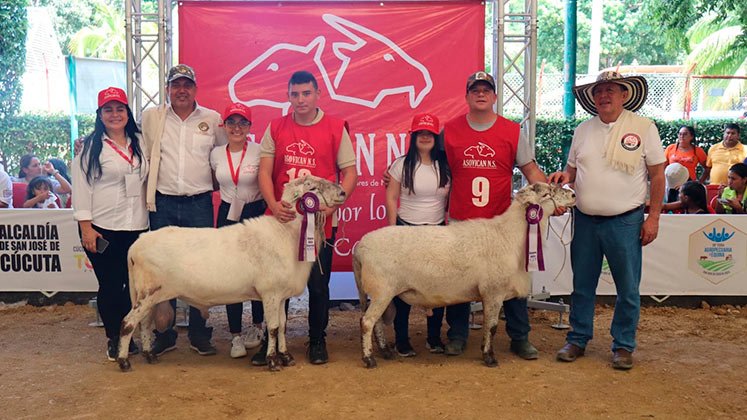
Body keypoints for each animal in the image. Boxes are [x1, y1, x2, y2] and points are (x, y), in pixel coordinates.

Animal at [117, 176, 348, 372]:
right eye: (312, 188)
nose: (343, 192)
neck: (286, 234)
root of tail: (136, 245)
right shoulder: (270, 293)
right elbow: (273, 328)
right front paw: (273, 361)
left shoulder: (281, 295)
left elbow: (283, 326)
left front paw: (286, 357)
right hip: (147, 292)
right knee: (128, 323)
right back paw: (123, 361)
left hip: (150, 294)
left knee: (144, 323)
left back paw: (149, 355)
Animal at [354, 183, 576, 368]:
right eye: (547, 193)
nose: (574, 194)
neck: (509, 236)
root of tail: (360, 246)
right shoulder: (493, 292)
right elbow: (492, 326)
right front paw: (489, 358)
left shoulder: (490, 294)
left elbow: (488, 326)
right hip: (382, 290)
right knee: (367, 322)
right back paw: (369, 359)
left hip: (383, 293)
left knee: (377, 323)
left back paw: (385, 352)